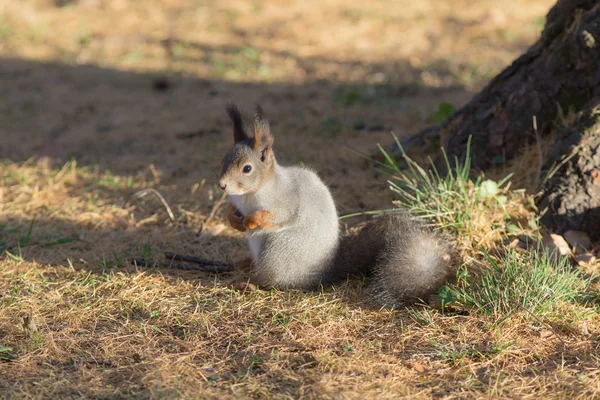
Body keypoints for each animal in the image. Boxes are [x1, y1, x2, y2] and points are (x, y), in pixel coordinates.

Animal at [218, 104, 458, 308]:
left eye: (247, 168)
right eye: (224, 160)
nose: (221, 185)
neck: (249, 194)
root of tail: (323, 273)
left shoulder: (286, 201)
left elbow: (279, 216)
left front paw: (252, 220)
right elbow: (232, 210)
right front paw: (233, 218)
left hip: (278, 253)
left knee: (274, 283)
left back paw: (251, 283)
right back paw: (245, 263)